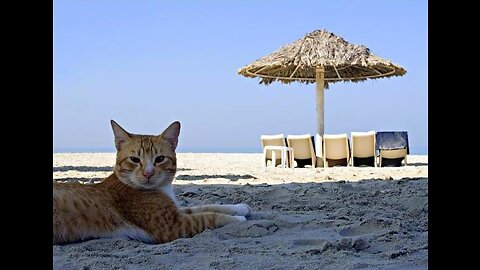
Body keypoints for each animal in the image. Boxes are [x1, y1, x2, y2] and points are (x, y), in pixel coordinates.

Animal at [53, 120, 251, 245]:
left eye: (160, 159)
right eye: (134, 159)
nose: (148, 173)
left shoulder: (176, 211)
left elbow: (206, 206)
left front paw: (239, 208)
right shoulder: (174, 225)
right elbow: (209, 216)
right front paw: (238, 219)